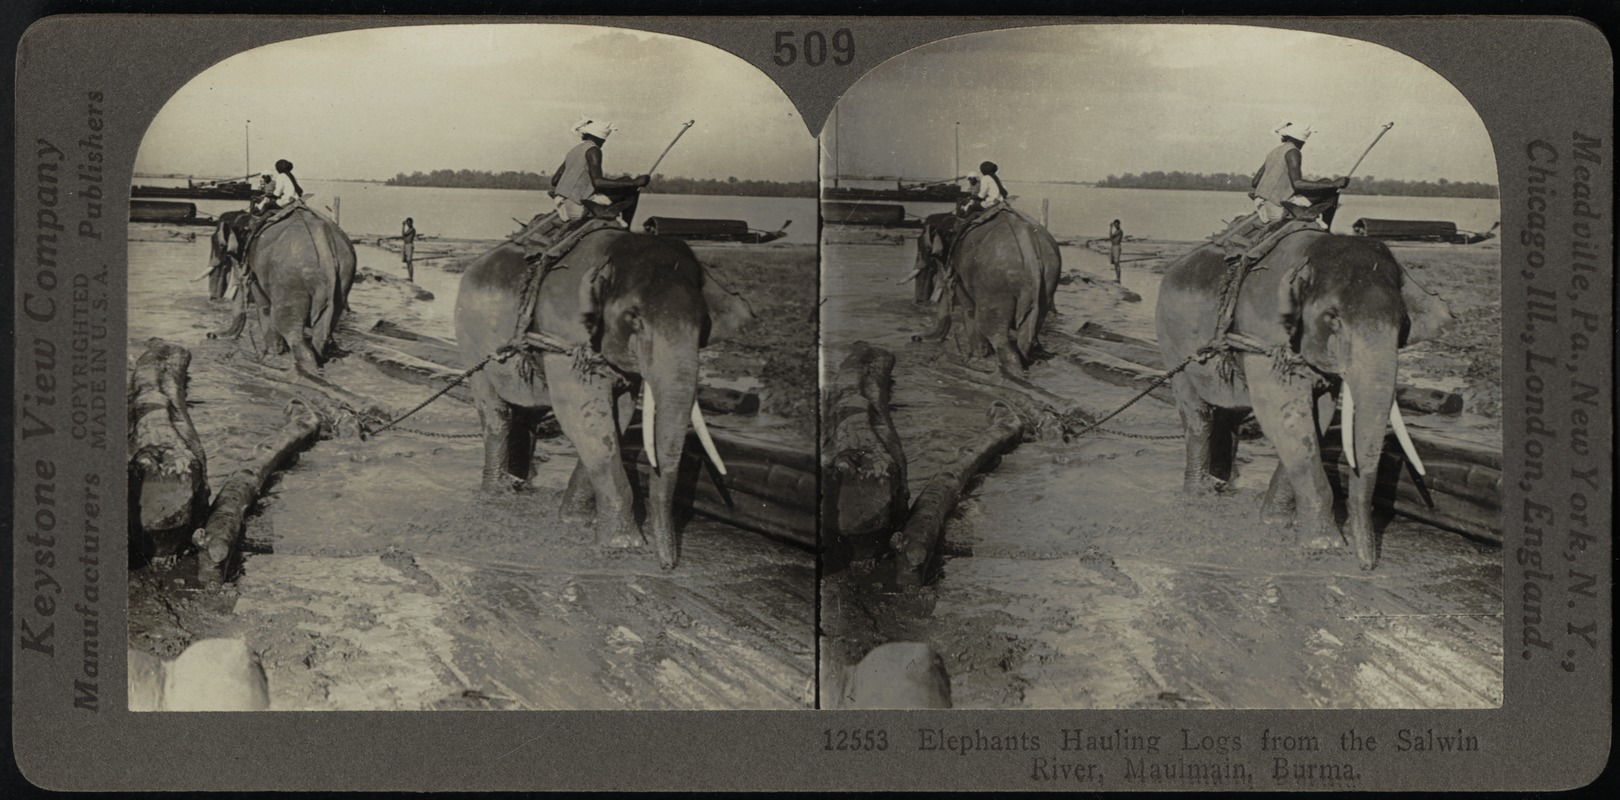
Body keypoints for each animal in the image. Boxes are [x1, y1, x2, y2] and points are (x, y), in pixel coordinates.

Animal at [221, 204, 358, 370]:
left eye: (230, 254)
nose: (211, 335)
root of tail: (322, 238)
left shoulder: (256, 272)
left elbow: (264, 307)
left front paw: (272, 355)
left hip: (290, 282)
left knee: (288, 327)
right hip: (343, 278)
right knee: (321, 336)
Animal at [453, 231, 754, 570]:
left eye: (703, 326)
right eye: (634, 320)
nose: (667, 565)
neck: (614, 252)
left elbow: (619, 417)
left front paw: (575, 521)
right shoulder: (563, 333)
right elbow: (582, 415)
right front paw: (623, 546)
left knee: (526, 417)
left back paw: (519, 486)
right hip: (470, 342)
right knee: (497, 415)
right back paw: (496, 495)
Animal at [913, 206, 1062, 375]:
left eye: (928, 250)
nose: (915, 338)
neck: (957, 220)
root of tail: (1029, 247)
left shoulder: (961, 273)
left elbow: (969, 308)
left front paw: (976, 358)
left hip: (995, 285)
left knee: (993, 329)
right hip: (1048, 281)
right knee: (1026, 338)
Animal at [1153, 231, 1458, 570]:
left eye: (1403, 324)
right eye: (1333, 319)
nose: (1366, 565)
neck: (1312, 253)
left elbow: (1319, 417)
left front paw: (1274, 522)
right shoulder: (1262, 331)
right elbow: (1283, 414)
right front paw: (1323, 547)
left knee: (1228, 417)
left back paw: (1221, 485)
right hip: (1171, 343)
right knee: (1198, 416)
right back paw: (1198, 496)